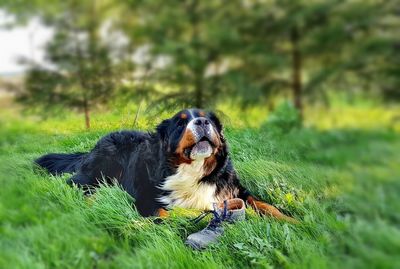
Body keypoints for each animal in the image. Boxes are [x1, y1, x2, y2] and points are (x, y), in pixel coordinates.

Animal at [34, 108, 296, 221]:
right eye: (180, 124)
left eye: (209, 119)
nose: (202, 122)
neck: (193, 169)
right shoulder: (144, 198)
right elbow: (168, 213)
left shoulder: (234, 190)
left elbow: (264, 204)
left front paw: (293, 221)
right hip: (102, 167)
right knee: (78, 185)